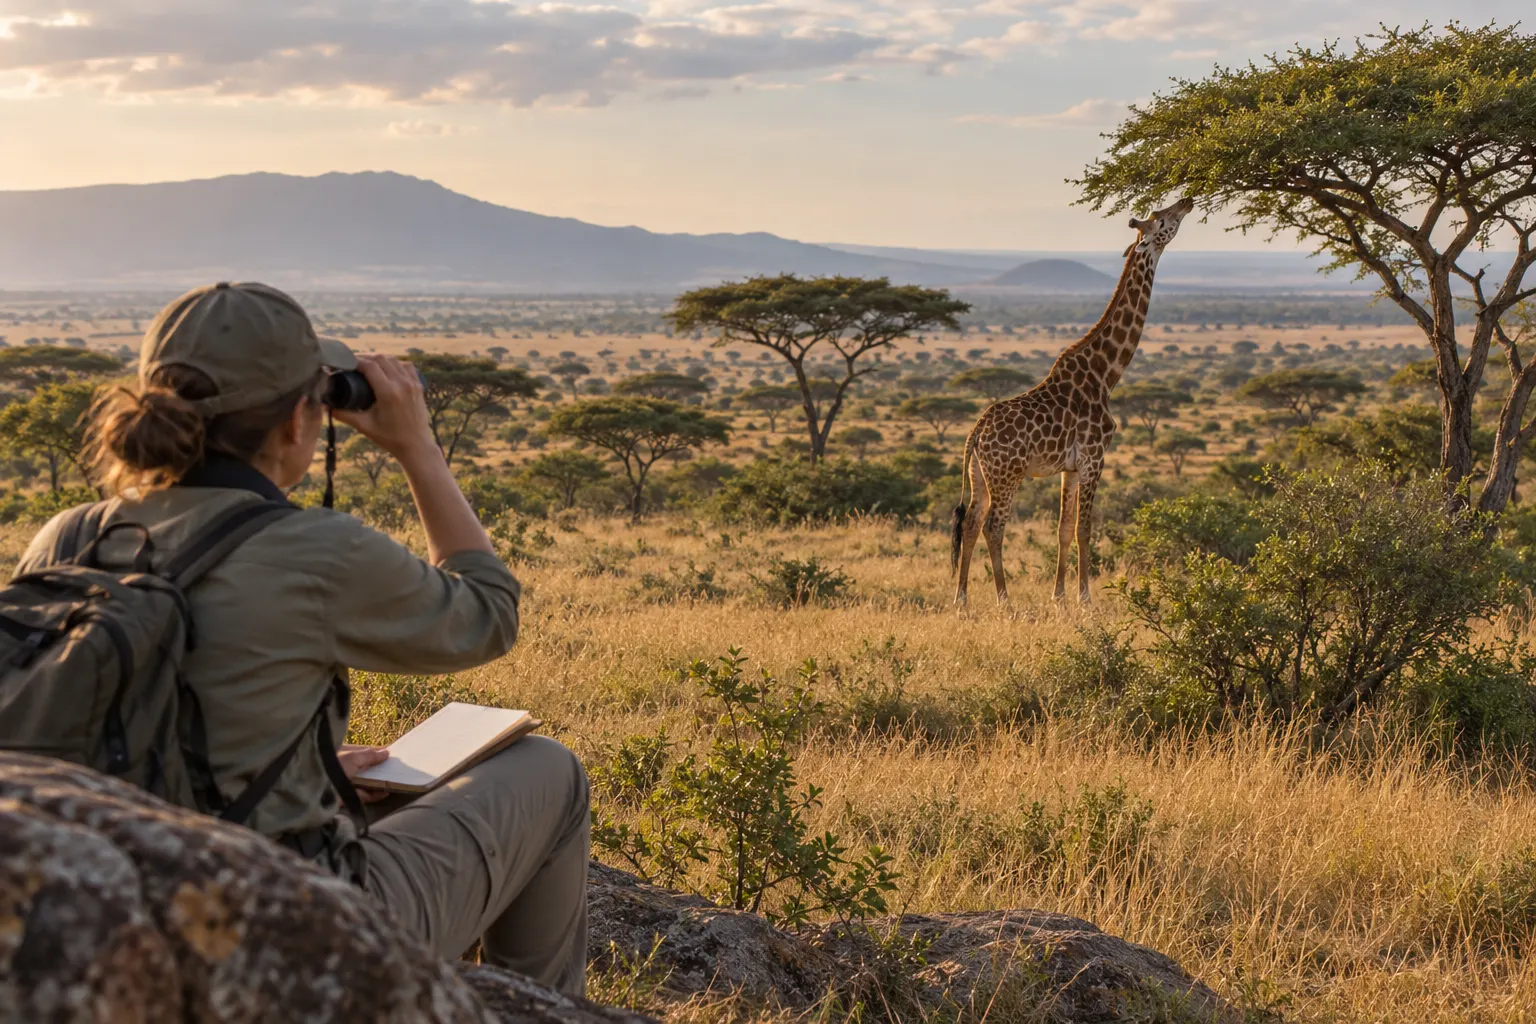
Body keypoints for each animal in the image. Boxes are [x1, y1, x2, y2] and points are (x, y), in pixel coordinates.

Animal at [951, 196, 1195, 606]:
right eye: (1162, 219)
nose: (1188, 200)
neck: (1104, 375)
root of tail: (976, 434)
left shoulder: (1070, 466)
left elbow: (1064, 528)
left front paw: (1059, 596)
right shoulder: (1095, 457)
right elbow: (1084, 528)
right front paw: (1085, 599)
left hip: (981, 476)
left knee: (970, 523)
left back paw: (962, 599)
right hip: (1008, 474)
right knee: (994, 527)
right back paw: (1004, 599)